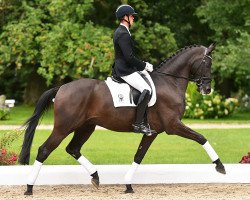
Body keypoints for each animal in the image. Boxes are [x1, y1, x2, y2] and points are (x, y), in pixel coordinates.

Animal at [19, 43, 226, 195]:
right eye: (207, 63)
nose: (207, 89)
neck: (170, 82)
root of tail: (61, 88)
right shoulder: (173, 125)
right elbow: (201, 138)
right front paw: (220, 166)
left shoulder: (152, 132)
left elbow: (138, 156)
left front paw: (128, 185)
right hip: (64, 127)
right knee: (44, 150)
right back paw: (29, 188)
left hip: (86, 127)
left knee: (73, 148)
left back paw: (95, 176)